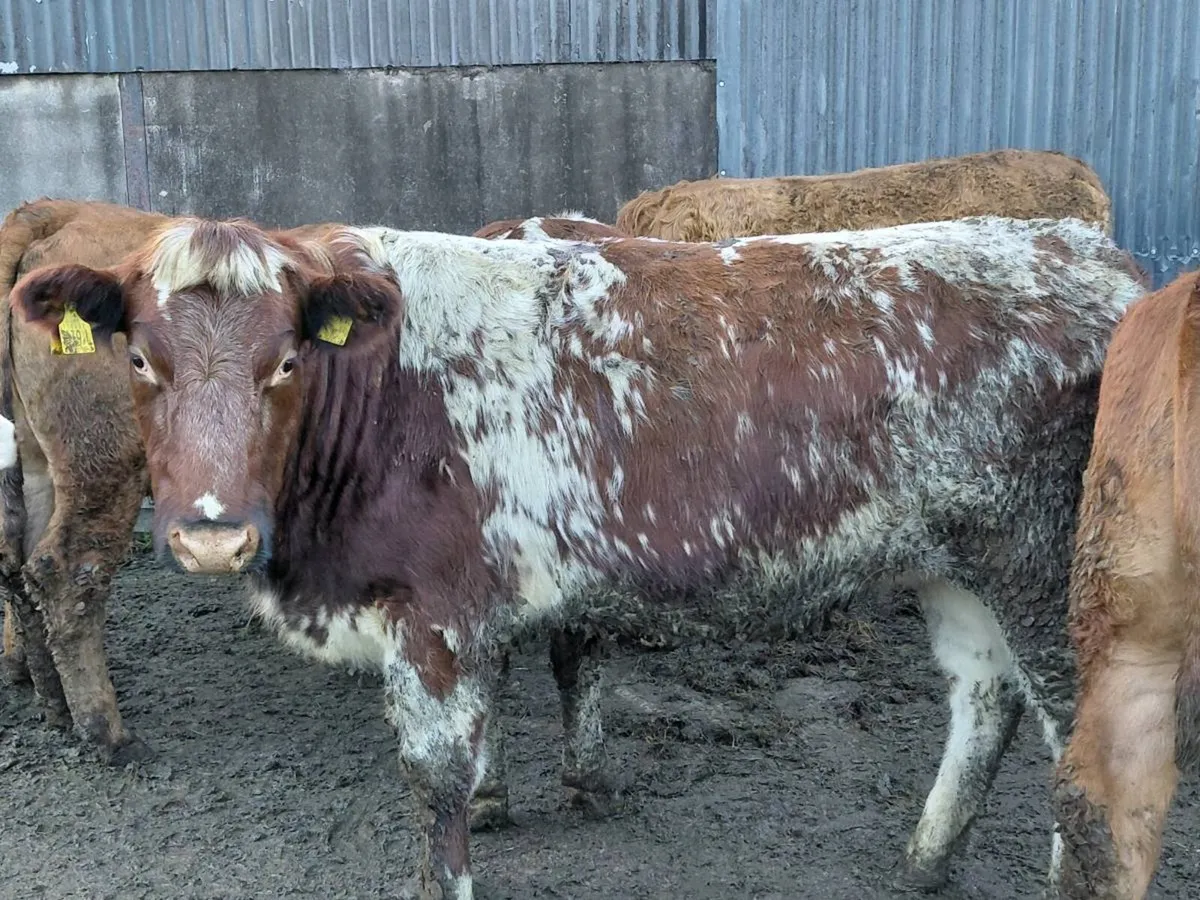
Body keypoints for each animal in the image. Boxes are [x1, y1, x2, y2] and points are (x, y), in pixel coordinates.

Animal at [11, 214, 1146, 899]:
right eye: (140, 358)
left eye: (286, 360)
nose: (212, 531)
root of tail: (1081, 247)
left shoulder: (432, 614)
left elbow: (433, 779)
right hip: (956, 561)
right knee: (984, 699)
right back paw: (924, 857)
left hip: (1054, 569)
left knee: (1090, 759)